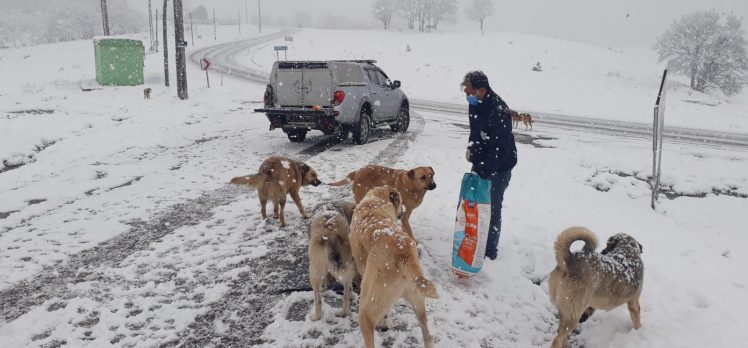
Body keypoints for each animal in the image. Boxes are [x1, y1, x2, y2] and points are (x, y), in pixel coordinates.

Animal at [350, 186, 438, 348]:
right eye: (401, 202)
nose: (403, 212)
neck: (376, 202)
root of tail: (403, 255)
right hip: (417, 298)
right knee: (428, 336)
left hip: (367, 307)